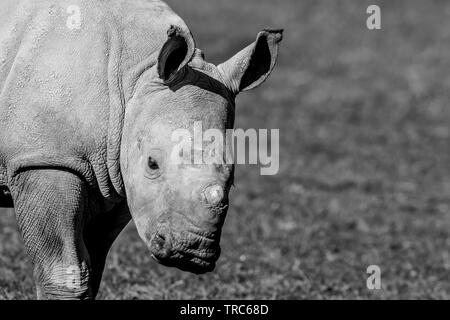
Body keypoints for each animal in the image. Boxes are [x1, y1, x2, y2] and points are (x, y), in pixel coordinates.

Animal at [0, 0, 282, 300]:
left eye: (233, 176)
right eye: (152, 163)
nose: (191, 251)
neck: (135, 76)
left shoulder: (114, 176)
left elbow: (92, 267)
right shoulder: (46, 158)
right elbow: (64, 269)